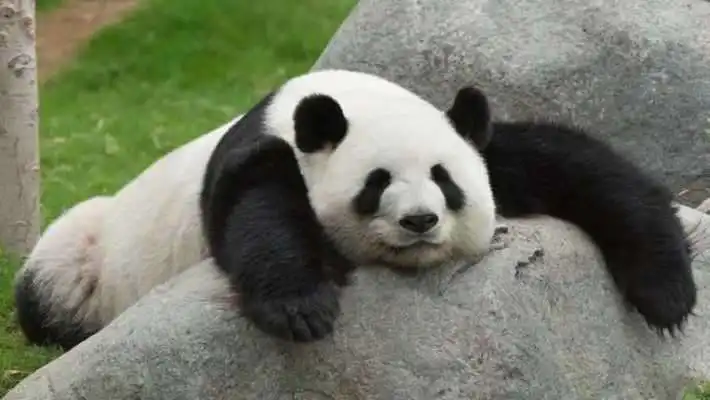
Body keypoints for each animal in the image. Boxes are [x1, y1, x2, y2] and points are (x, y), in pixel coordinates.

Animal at [14, 69, 696, 350]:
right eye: (377, 183)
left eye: (444, 182)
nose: (419, 221)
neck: (345, 98)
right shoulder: (261, 153)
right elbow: (256, 213)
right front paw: (302, 308)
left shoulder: (476, 141)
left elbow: (582, 168)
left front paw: (667, 295)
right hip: (87, 253)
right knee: (50, 285)